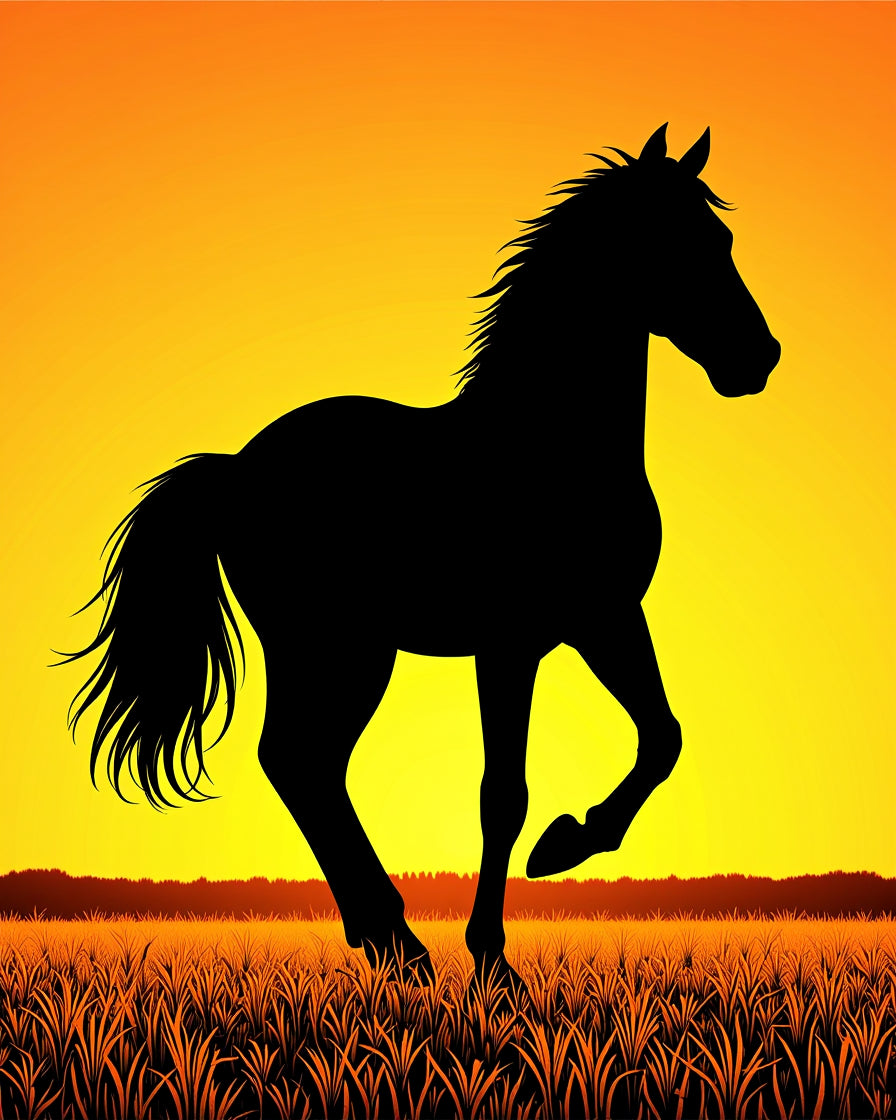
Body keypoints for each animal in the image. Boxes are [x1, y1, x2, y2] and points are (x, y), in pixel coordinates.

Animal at [65, 124, 780, 988]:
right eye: (673, 242)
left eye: (722, 240)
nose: (759, 357)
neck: (549, 444)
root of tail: (235, 469)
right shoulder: (510, 644)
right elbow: (502, 794)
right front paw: (494, 959)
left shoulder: (605, 619)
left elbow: (662, 737)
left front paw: (568, 842)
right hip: (331, 649)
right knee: (296, 761)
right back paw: (399, 943)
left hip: (351, 653)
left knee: (307, 765)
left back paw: (388, 939)